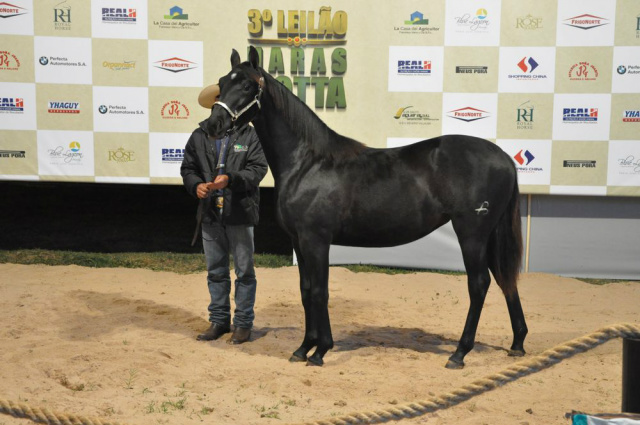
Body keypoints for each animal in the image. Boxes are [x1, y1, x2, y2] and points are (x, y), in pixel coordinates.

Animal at [208, 48, 528, 368]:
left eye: (247, 85)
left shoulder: (316, 240)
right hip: (488, 235)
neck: (307, 163)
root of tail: (504, 156)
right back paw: (517, 344)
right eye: (222, 82)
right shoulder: (299, 241)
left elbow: (320, 292)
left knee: (479, 284)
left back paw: (460, 353)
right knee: (505, 280)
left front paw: (320, 350)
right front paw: (303, 348)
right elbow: (306, 291)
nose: (212, 125)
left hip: (471, 234)